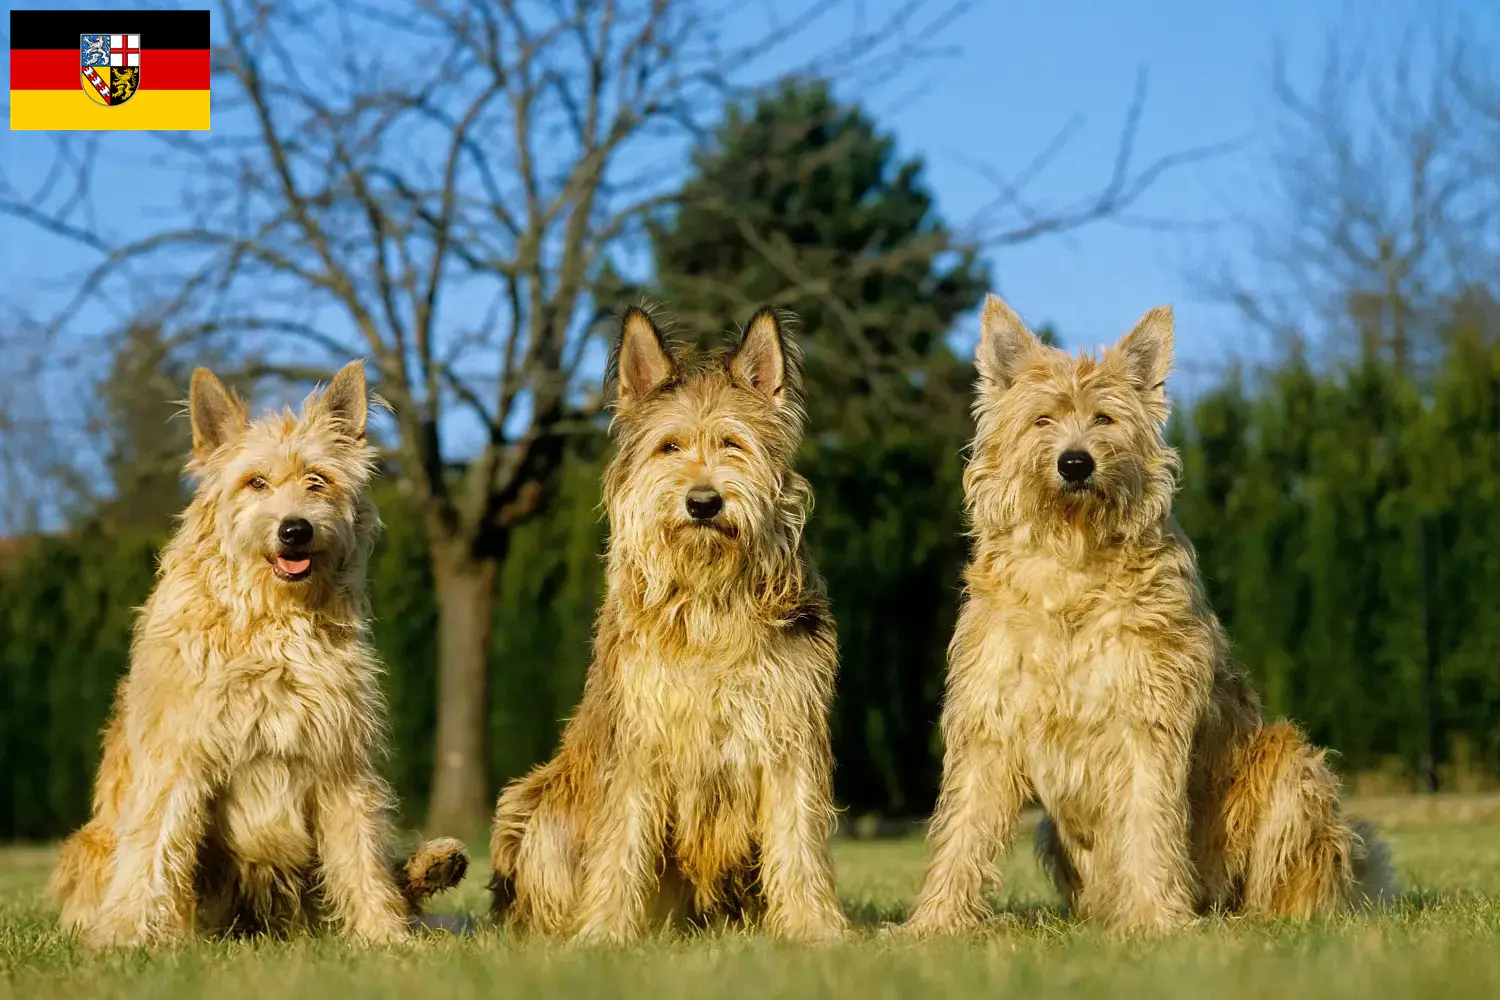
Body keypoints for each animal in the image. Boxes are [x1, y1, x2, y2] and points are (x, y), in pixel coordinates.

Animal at [49, 364, 465, 953]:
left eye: (317, 479)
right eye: (256, 482)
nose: (295, 529)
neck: (273, 621)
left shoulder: (340, 762)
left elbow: (361, 857)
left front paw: (384, 936)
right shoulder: (178, 756)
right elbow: (153, 849)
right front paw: (124, 937)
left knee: (387, 873)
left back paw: (433, 866)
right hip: (91, 846)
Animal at [489, 308, 846, 941]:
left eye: (732, 444)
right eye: (669, 446)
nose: (703, 503)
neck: (708, 604)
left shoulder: (789, 737)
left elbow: (798, 840)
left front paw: (814, 928)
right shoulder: (638, 740)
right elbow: (621, 842)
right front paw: (603, 931)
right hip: (535, 807)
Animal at [894, 296, 1386, 941]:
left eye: (1104, 418)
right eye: (1042, 420)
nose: (1075, 463)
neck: (1072, 566)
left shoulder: (1147, 723)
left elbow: (1150, 822)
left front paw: (1157, 921)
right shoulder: (989, 724)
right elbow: (962, 829)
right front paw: (933, 923)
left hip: (1290, 764)